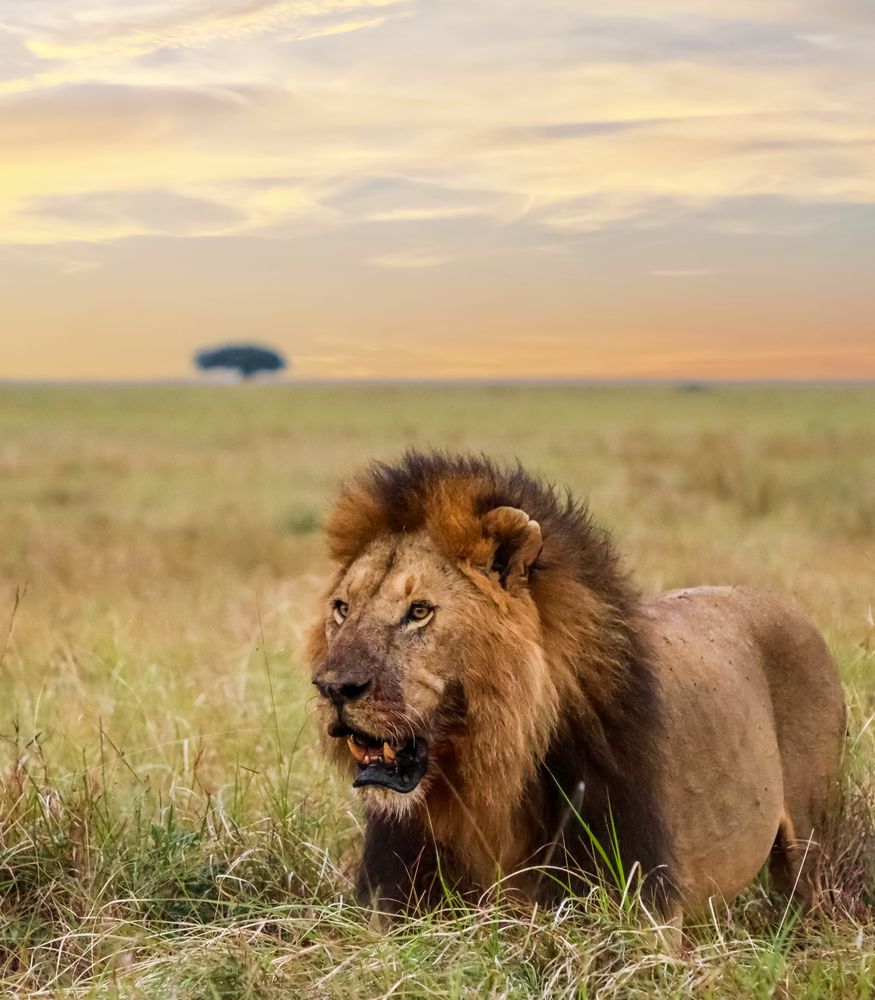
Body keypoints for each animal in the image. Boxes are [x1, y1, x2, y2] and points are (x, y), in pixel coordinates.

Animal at [305, 452, 846, 928]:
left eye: (419, 611)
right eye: (342, 608)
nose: (332, 688)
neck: (484, 783)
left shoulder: (641, 908)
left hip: (811, 842)